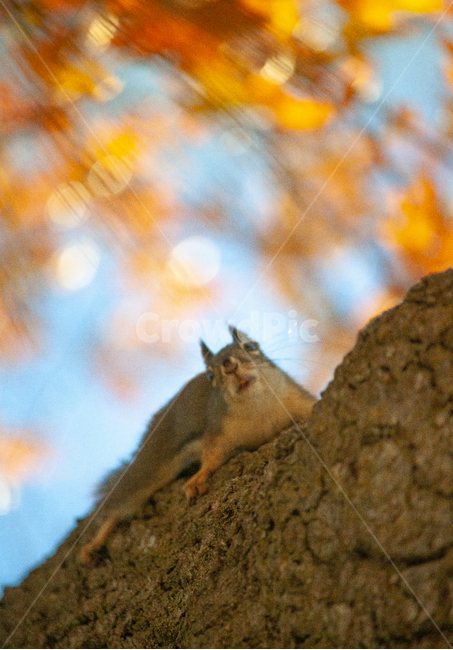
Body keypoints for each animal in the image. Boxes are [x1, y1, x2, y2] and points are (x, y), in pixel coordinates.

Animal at [78, 325, 316, 563]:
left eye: (250, 346)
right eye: (210, 375)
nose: (229, 365)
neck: (258, 408)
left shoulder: (298, 399)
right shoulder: (216, 433)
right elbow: (211, 457)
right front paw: (199, 477)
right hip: (152, 463)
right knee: (121, 501)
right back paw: (95, 541)